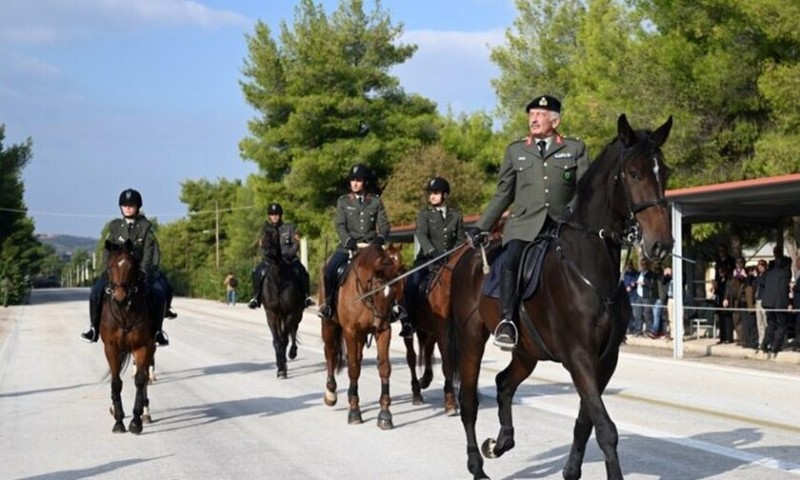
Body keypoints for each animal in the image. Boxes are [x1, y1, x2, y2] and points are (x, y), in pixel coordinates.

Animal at [99, 240, 155, 436]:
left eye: (131, 266)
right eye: (109, 266)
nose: (120, 297)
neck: (124, 312)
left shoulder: (143, 347)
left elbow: (140, 380)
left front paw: (136, 421)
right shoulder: (111, 348)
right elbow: (116, 383)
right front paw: (118, 421)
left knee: (145, 377)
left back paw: (146, 412)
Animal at [260, 224, 306, 378]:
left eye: (276, 236)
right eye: (263, 235)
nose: (267, 252)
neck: (278, 278)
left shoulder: (289, 313)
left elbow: (285, 339)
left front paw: (283, 367)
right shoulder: (271, 313)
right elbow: (277, 341)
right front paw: (280, 367)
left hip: (297, 314)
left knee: (293, 330)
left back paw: (292, 353)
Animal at [320, 244, 406, 428]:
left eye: (394, 289)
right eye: (377, 289)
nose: (380, 321)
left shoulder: (383, 332)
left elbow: (384, 367)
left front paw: (385, 415)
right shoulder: (350, 332)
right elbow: (353, 369)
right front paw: (354, 411)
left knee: (357, 358)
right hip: (329, 324)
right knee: (330, 353)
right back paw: (331, 393)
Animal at [450, 114, 676, 478]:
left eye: (664, 171)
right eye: (633, 173)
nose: (661, 244)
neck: (590, 267)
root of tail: (466, 257)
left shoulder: (606, 359)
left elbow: (586, 421)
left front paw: (571, 471)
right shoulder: (578, 356)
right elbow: (606, 428)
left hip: (527, 351)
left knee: (504, 383)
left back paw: (501, 442)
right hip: (471, 338)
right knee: (469, 401)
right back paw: (477, 466)